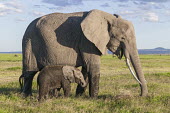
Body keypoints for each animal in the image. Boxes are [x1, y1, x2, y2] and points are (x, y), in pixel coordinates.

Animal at [19, 9, 147, 97]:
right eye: (122, 38)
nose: (140, 95)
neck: (108, 17)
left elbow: (86, 68)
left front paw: (79, 96)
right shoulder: (87, 41)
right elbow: (93, 68)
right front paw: (94, 98)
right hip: (29, 42)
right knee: (29, 73)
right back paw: (27, 96)